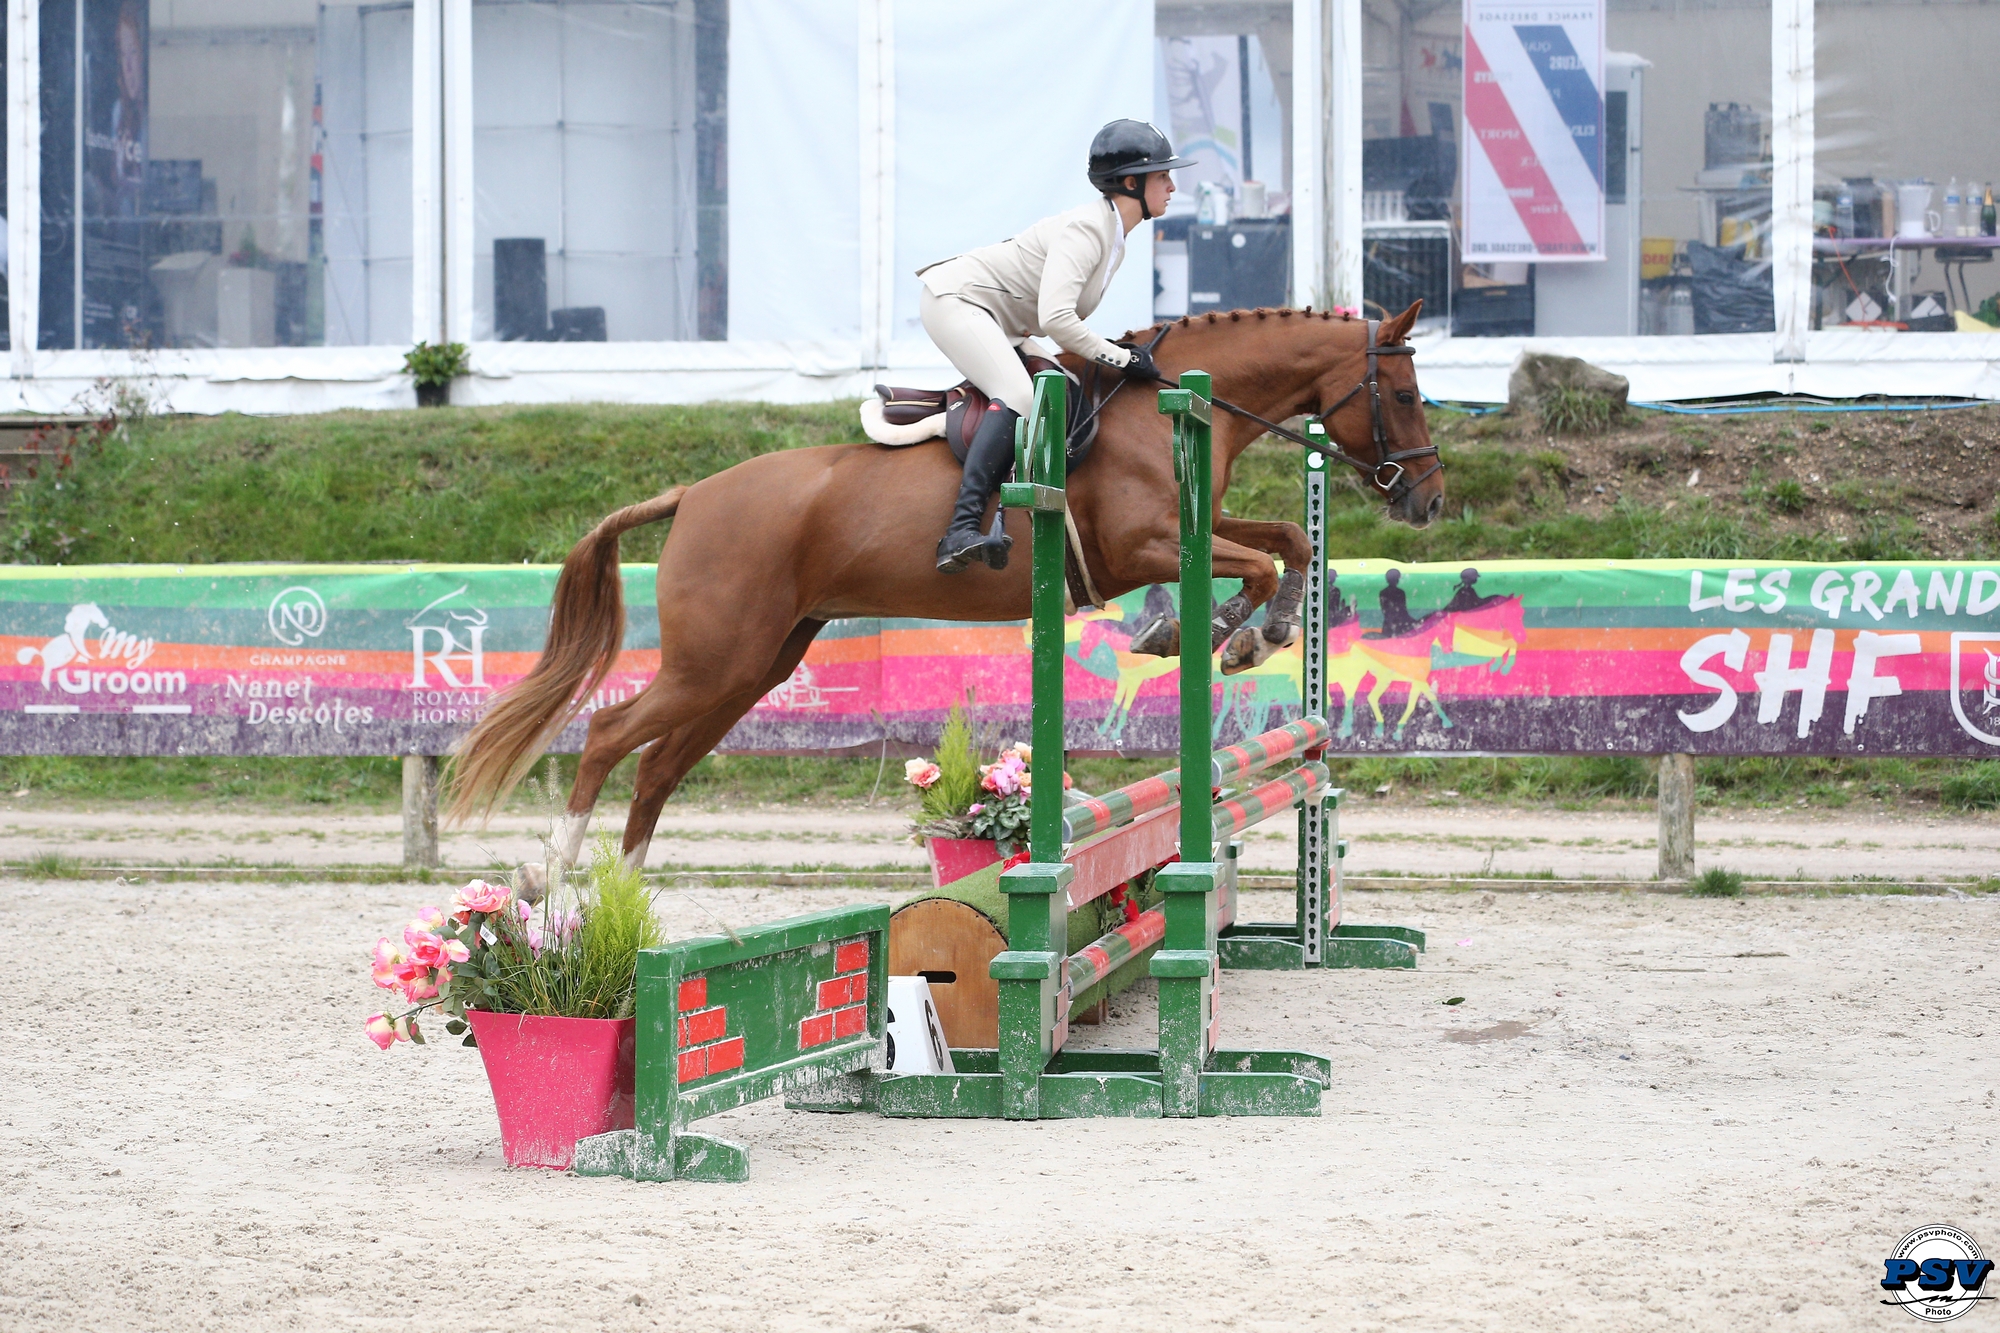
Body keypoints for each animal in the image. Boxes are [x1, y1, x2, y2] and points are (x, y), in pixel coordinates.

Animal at [447, 302, 1445, 868]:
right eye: (1402, 395)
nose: (1428, 499)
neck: (1161, 408)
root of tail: (695, 492)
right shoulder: (1144, 548)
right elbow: (1264, 559)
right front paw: (1222, 633)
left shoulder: (1191, 530)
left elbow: (1287, 540)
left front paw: (1250, 633)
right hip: (714, 659)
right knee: (610, 735)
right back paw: (551, 878)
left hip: (755, 665)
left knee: (657, 765)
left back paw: (626, 896)